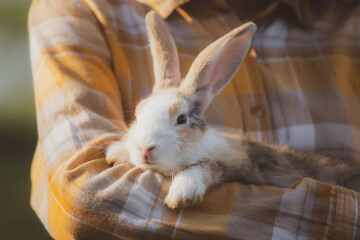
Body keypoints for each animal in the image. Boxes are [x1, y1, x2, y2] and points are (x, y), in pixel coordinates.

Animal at [106, 11, 360, 209]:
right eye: (138, 114)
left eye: (181, 119)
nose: (145, 148)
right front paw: (116, 152)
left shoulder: (236, 167)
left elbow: (204, 167)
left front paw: (183, 193)